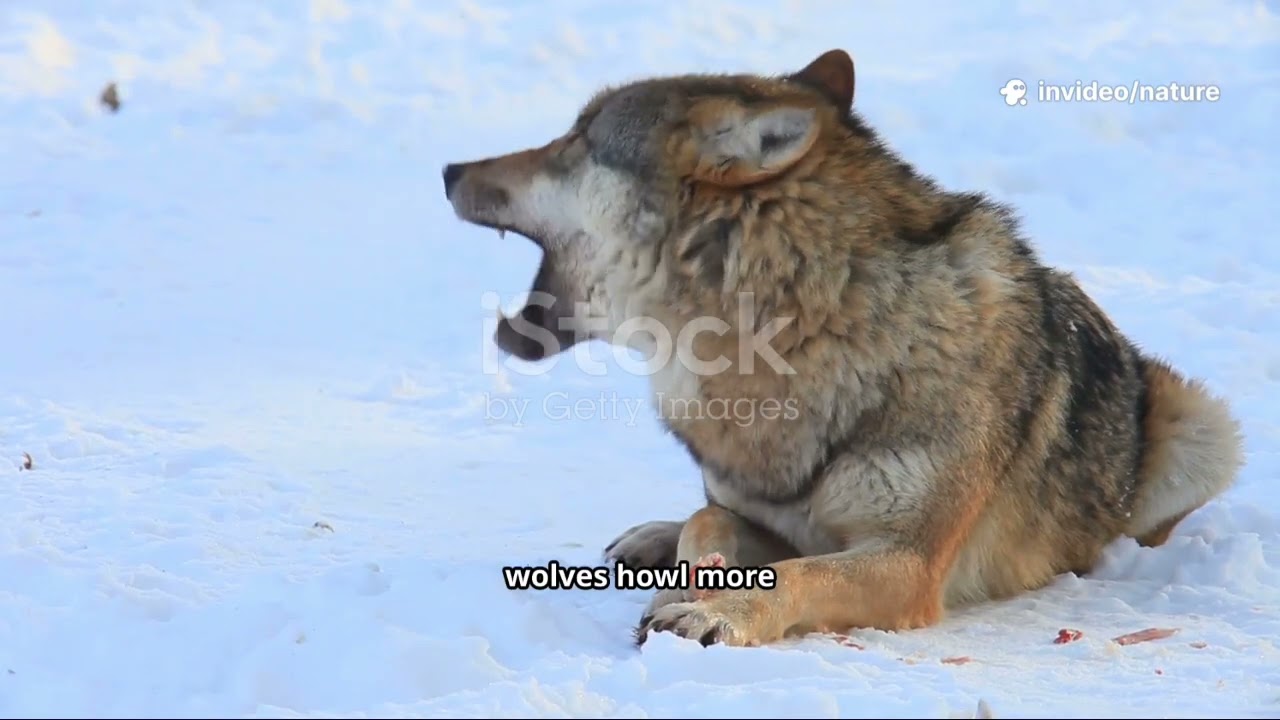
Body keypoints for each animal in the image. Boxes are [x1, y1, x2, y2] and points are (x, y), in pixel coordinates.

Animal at [442, 49, 1245, 648]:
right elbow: (710, 520)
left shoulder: (907, 561)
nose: (448, 170)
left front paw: (714, 612)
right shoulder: (766, 517)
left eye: (578, 140)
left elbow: (801, 575)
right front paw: (685, 577)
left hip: (1206, 427)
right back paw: (648, 536)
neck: (802, 331)